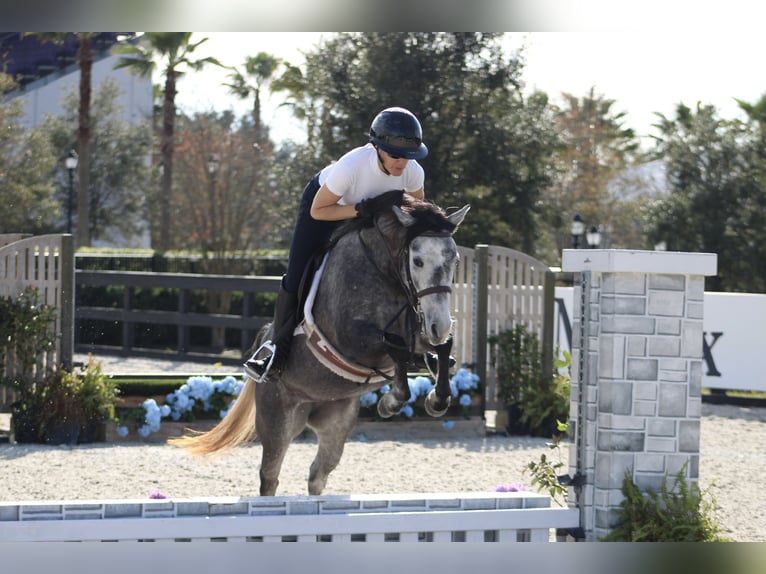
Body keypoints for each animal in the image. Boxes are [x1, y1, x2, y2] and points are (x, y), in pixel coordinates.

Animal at [171, 191, 472, 498]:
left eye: (455, 261)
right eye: (418, 261)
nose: (439, 325)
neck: (385, 273)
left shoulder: (419, 332)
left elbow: (440, 347)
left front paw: (437, 399)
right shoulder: (353, 341)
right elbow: (395, 347)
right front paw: (391, 403)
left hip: (336, 423)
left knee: (318, 474)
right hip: (277, 420)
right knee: (270, 477)